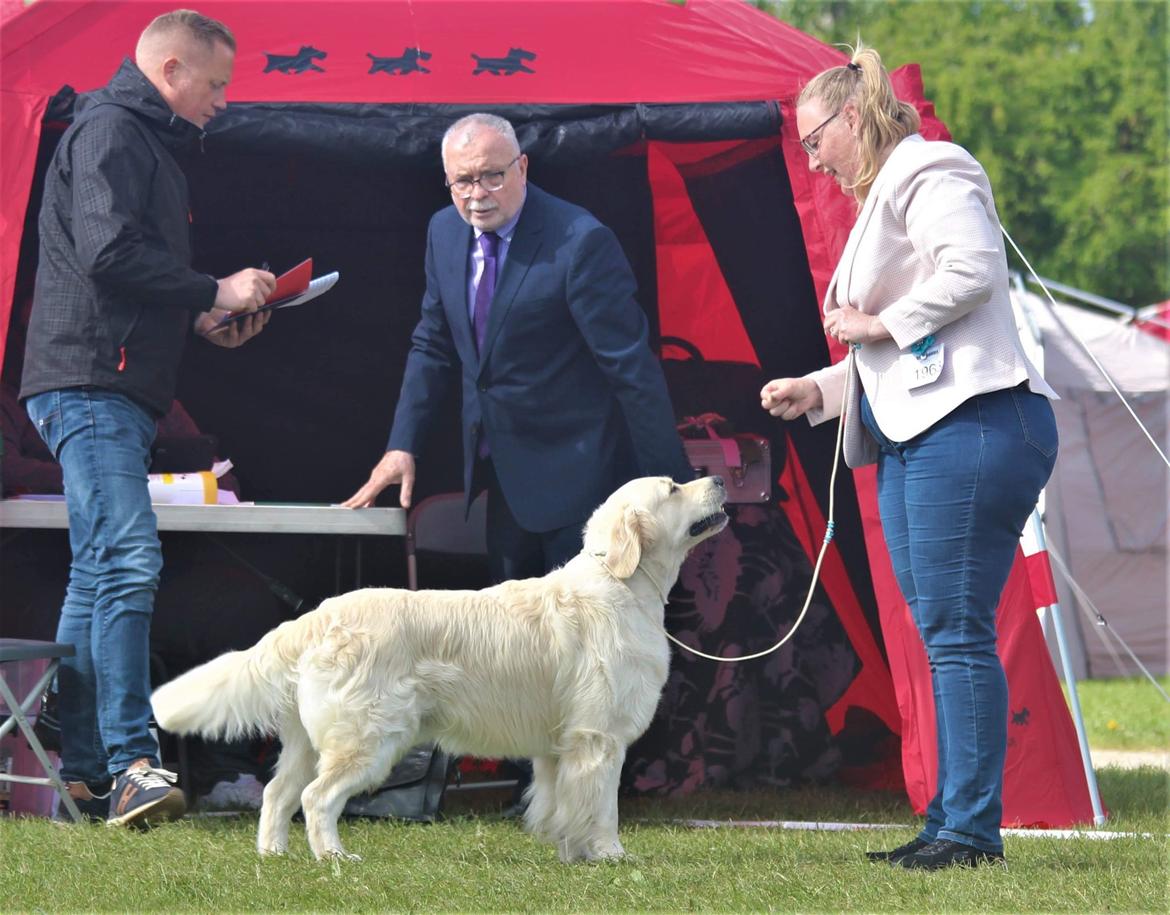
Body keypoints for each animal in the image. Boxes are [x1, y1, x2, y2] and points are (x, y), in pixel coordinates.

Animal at [150, 477, 725, 865]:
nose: (718, 479)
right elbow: (602, 807)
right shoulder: (598, 738)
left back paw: (274, 854)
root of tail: (316, 617)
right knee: (317, 798)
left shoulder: (559, 744)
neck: (622, 582)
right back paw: (334, 857)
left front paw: (568, 853)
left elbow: (559, 805)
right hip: (368, 737)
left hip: (308, 741)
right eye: (673, 487)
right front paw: (609, 856)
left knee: (278, 794)